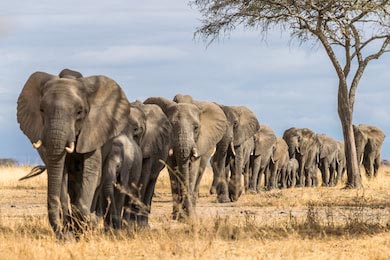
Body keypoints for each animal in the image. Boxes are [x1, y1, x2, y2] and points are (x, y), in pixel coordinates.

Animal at [16, 71, 130, 240]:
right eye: (41, 110)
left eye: (79, 112)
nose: (61, 235)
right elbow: (60, 175)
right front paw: (70, 232)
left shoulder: (93, 132)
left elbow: (90, 172)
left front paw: (89, 223)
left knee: (96, 182)